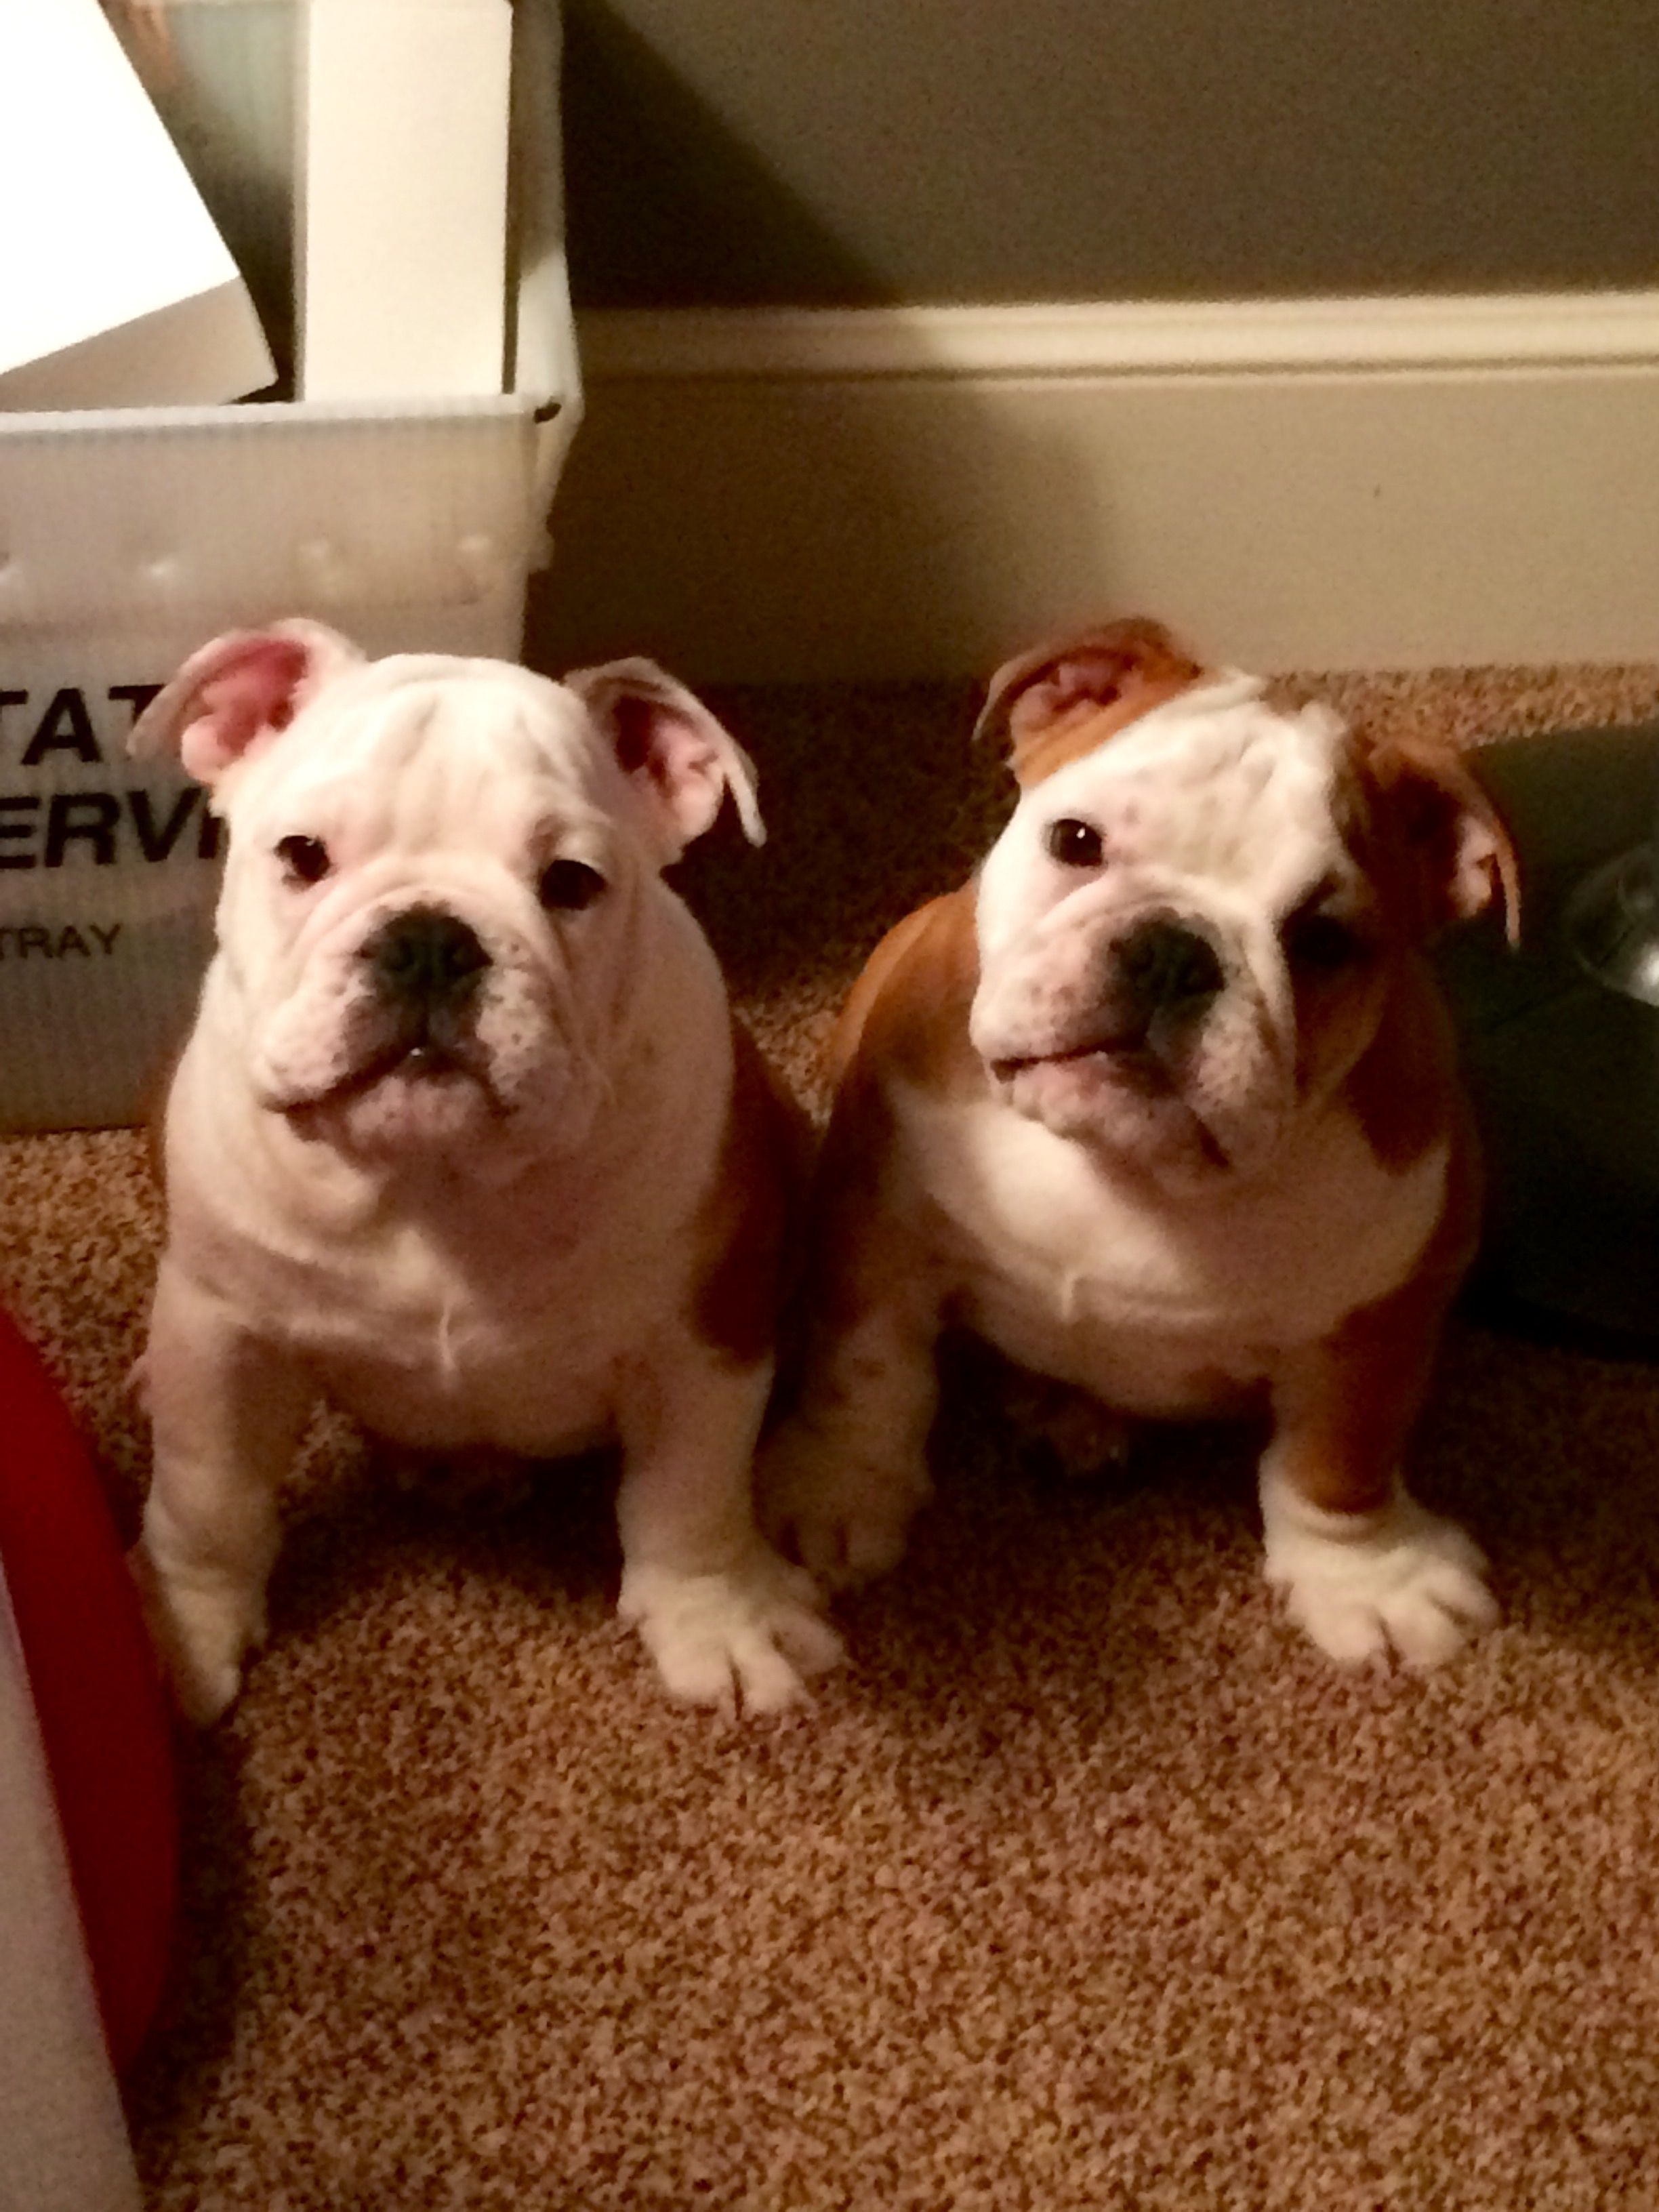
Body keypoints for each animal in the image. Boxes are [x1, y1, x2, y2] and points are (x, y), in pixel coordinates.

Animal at [128, 619, 840, 1722]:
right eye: (302, 857)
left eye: (574, 884)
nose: (430, 937)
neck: (435, 1177)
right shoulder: (221, 1329)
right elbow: (208, 1495)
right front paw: (179, 1623)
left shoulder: (704, 1338)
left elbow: (690, 1493)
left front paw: (714, 1616)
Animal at [761, 619, 1516, 1668]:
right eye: (1075, 841)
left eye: (1324, 940)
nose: (1173, 951)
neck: (1124, 1165)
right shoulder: (877, 1226)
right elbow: (868, 1372)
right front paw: (842, 1485)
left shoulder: (1382, 1314)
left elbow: (1339, 1460)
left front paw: (1368, 1576)